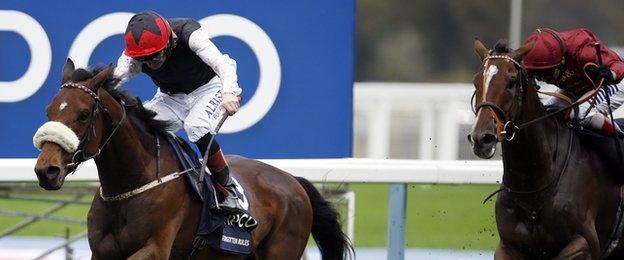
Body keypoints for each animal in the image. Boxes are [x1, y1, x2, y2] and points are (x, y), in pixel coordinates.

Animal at [34, 59, 354, 260]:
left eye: (83, 114)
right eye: (49, 111)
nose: (46, 170)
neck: (133, 185)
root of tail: (293, 180)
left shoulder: (156, 248)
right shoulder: (101, 252)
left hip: (281, 250)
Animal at [470, 39, 624, 258]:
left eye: (511, 81)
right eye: (476, 82)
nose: (482, 138)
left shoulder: (584, 243)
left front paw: (607, 72)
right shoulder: (507, 247)